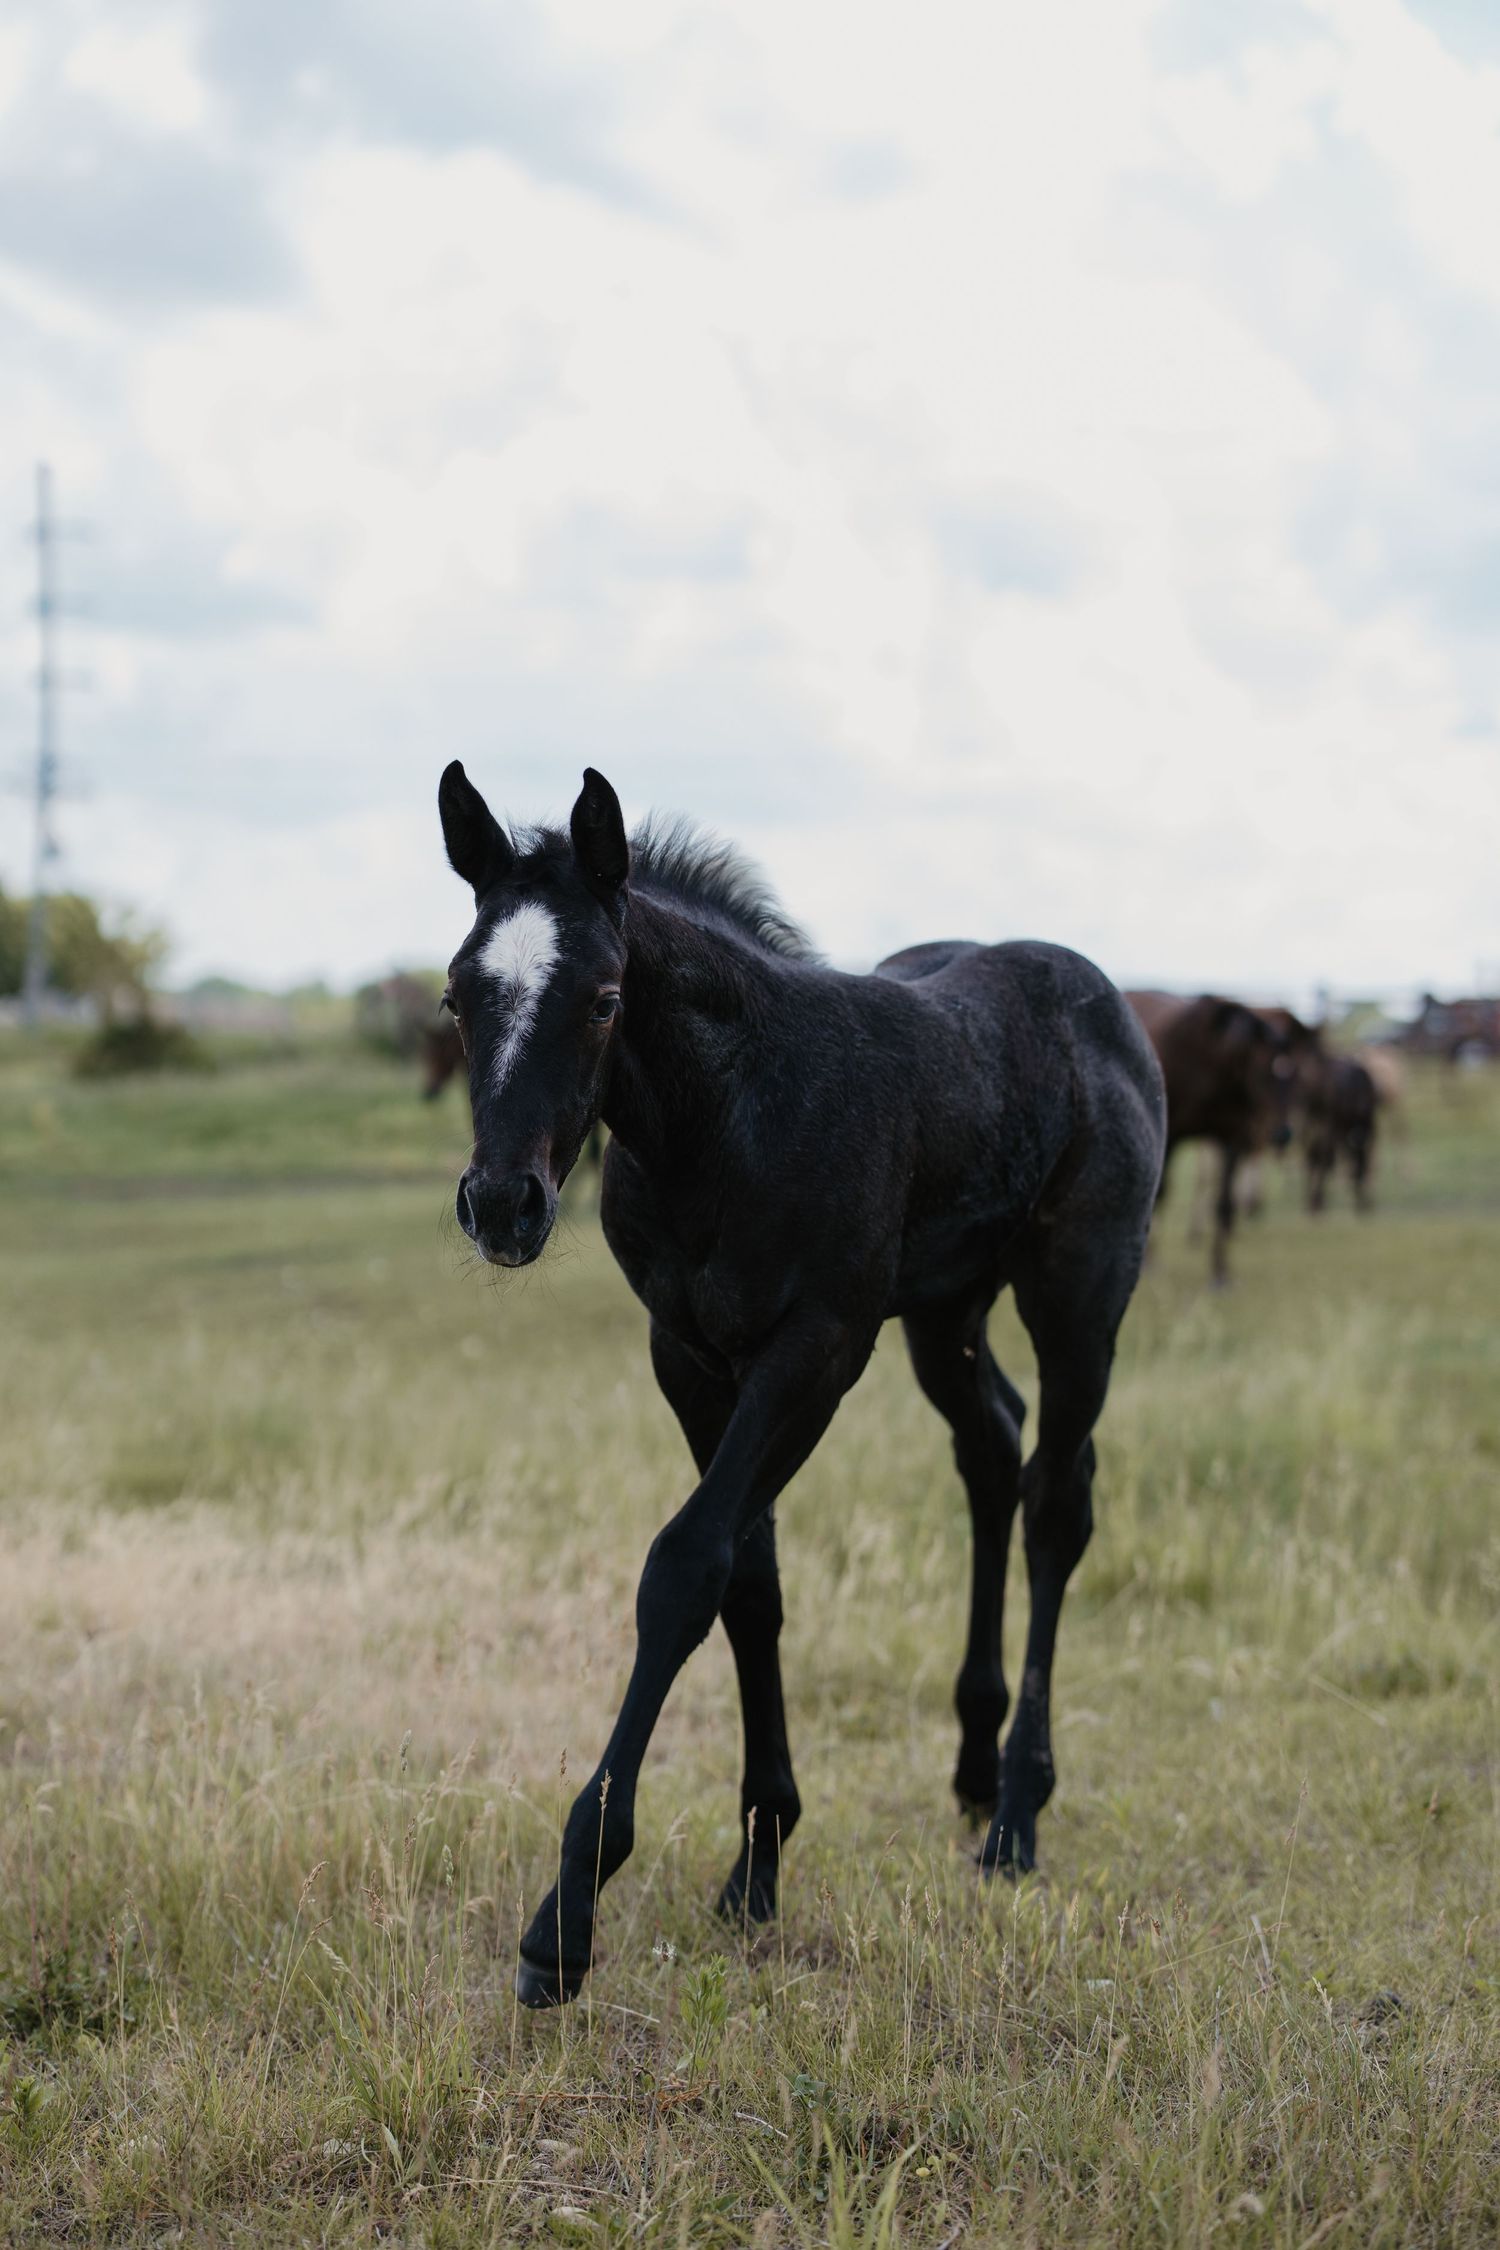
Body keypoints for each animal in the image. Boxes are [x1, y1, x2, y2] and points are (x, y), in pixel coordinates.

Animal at [437, 764, 1166, 2006]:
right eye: (453, 999)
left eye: (604, 998)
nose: (501, 1204)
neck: (733, 1119)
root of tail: (1104, 1003)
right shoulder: (688, 1354)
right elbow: (749, 1584)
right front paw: (758, 1860)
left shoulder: (818, 1347)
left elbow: (685, 1566)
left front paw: (564, 1918)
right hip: (945, 1311)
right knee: (993, 1452)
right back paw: (973, 1765)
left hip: (1078, 1293)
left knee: (1057, 1499)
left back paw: (1017, 1816)